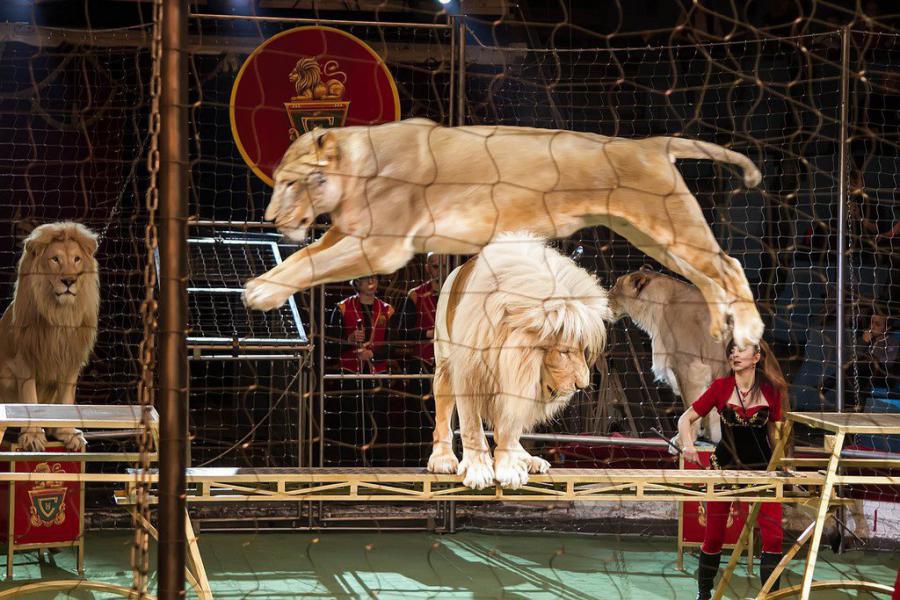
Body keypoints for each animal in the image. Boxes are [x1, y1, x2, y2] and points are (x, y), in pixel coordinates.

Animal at [0, 222, 100, 452]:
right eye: (55, 259)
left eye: (76, 259)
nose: (69, 280)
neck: (60, 314)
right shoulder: (24, 359)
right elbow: (30, 399)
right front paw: (33, 436)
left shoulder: (71, 359)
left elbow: (66, 400)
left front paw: (67, 433)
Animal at [242, 118, 765, 349]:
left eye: (290, 182)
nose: (271, 219)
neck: (357, 164)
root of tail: (649, 144)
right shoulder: (351, 234)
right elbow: (305, 258)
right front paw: (265, 283)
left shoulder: (381, 245)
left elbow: (312, 263)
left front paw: (260, 293)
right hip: (650, 235)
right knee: (707, 274)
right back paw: (721, 325)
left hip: (669, 223)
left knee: (729, 265)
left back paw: (749, 329)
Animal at [426, 232, 612, 489]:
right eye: (564, 351)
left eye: (583, 350)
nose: (581, 386)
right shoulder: (468, 372)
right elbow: (471, 427)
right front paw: (478, 469)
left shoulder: (518, 383)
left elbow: (510, 429)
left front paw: (510, 468)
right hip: (444, 363)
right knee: (443, 412)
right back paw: (443, 459)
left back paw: (527, 459)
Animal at [608, 268, 728, 445]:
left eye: (616, 286)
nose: (603, 298)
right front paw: (711, 438)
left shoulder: (689, 369)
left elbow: (690, 405)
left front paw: (685, 439)